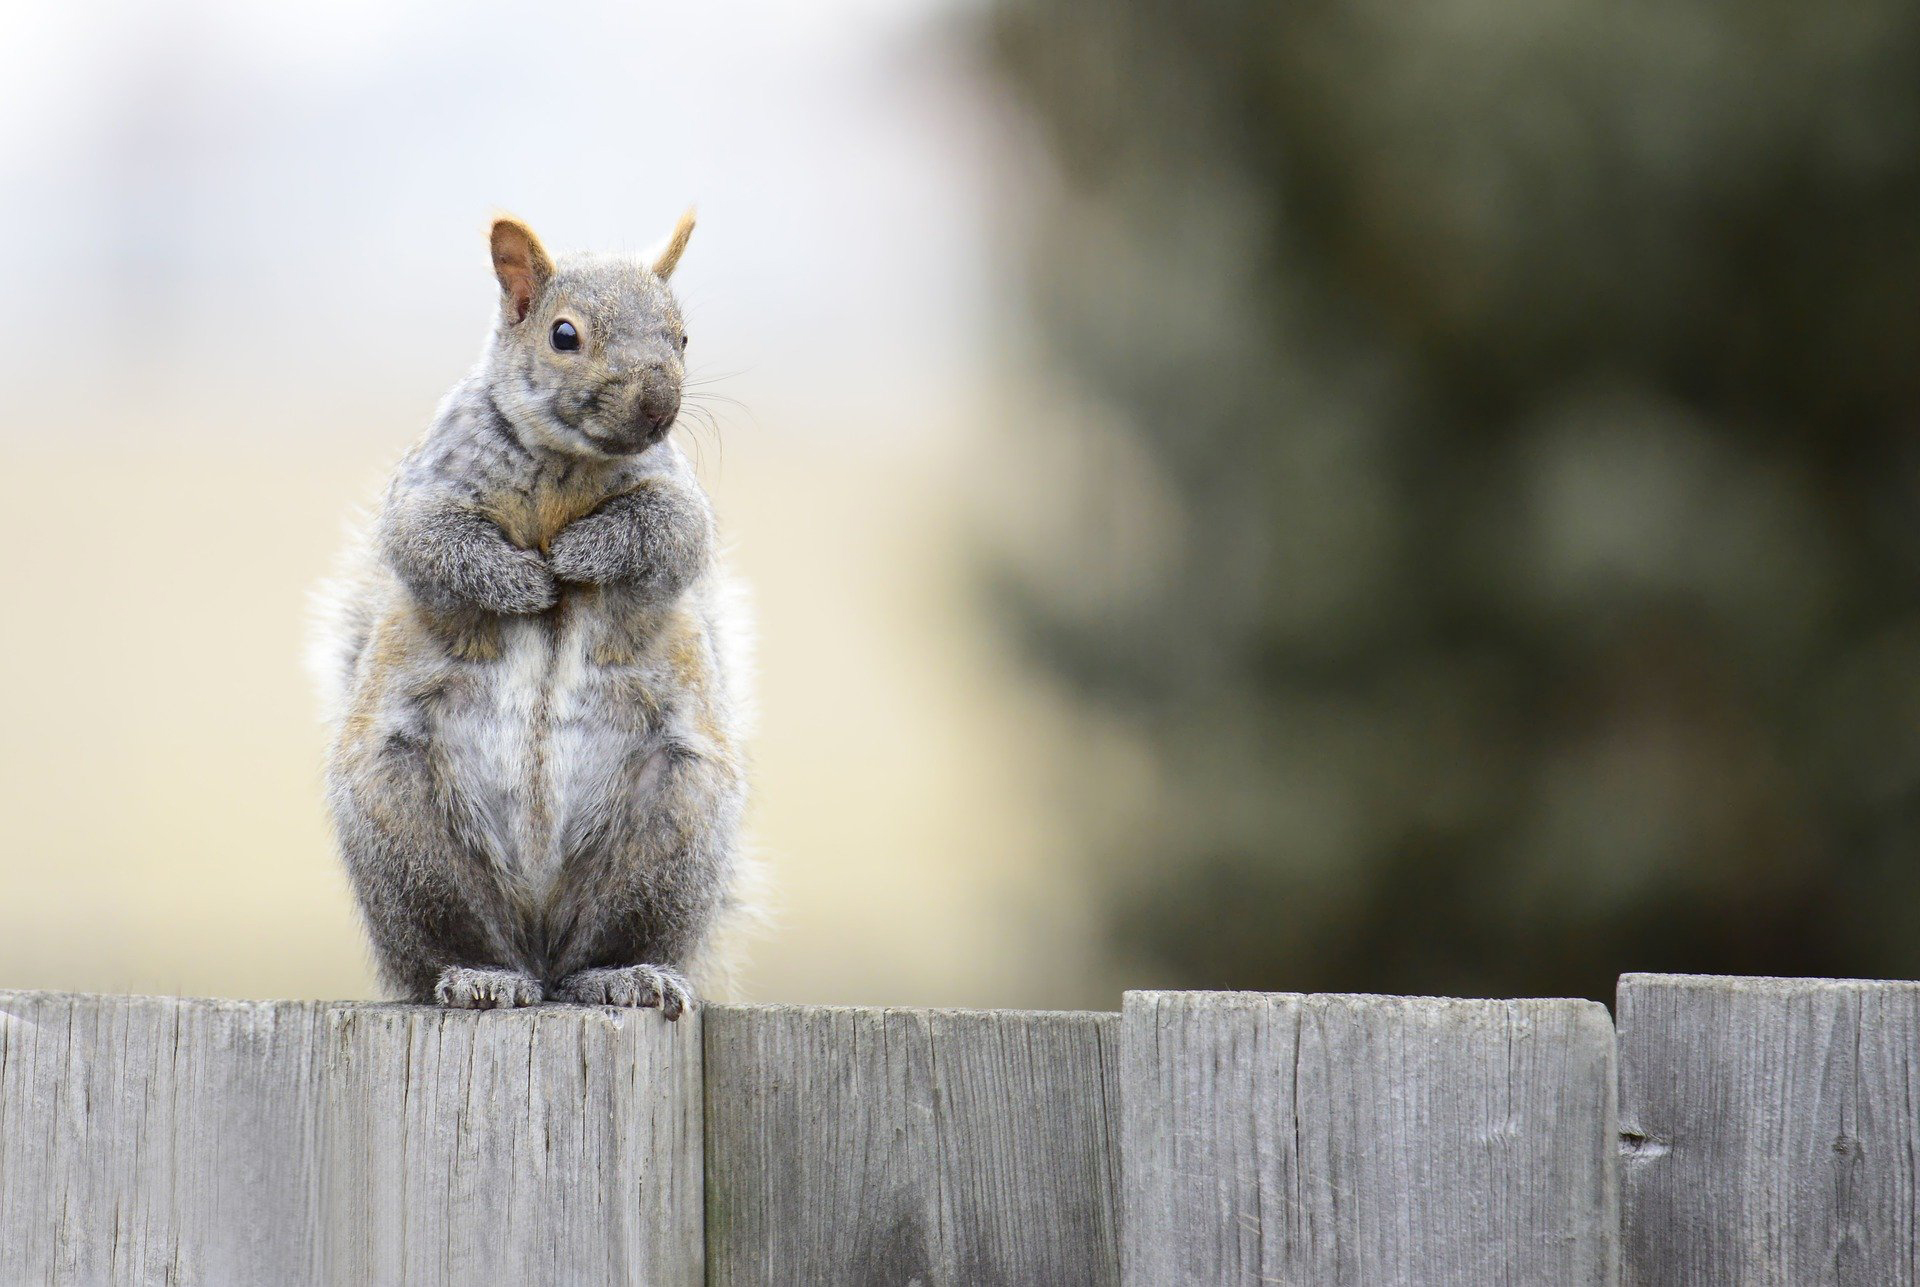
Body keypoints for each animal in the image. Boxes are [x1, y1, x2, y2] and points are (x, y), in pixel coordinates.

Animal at [307, 211, 748, 1021]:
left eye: (682, 336)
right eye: (563, 334)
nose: (658, 407)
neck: (566, 467)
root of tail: (538, 935)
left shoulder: (676, 499)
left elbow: (667, 532)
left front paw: (580, 552)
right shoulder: (427, 489)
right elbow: (431, 543)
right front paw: (523, 582)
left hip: (672, 828)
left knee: (598, 948)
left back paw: (623, 975)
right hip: (407, 834)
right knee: (449, 948)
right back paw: (479, 975)